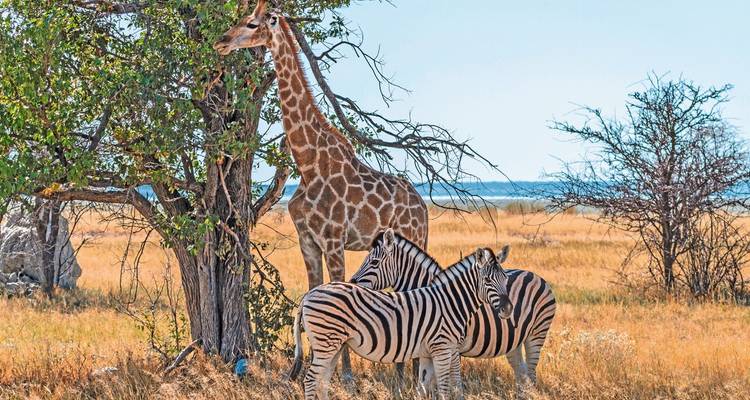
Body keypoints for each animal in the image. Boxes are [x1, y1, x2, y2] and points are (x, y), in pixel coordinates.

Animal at [214, 0, 428, 381]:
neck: (307, 161)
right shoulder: (308, 241)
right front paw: (305, 369)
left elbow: (339, 298)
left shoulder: (333, 240)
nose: (221, 42)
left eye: (252, 24)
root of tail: (424, 207)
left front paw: (346, 377)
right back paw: (404, 372)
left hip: (413, 241)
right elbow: (313, 295)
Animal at [288, 247, 513, 400]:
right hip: (326, 343)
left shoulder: (434, 352)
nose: (508, 309)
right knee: (311, 380)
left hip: (333, 345)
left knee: (322, 381)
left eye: (505, 279)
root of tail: (309, 294)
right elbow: (444, 388)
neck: (450, 302)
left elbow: (433, 387)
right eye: (487, 281)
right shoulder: (442, 349)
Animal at [350, 228, 556, 390]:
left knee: (531, 374)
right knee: (522, 375)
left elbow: (452, 384)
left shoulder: (452, 347)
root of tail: (537, 276)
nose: (352, 282)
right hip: (514, 341)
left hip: (536, 335)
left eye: (374, 262)